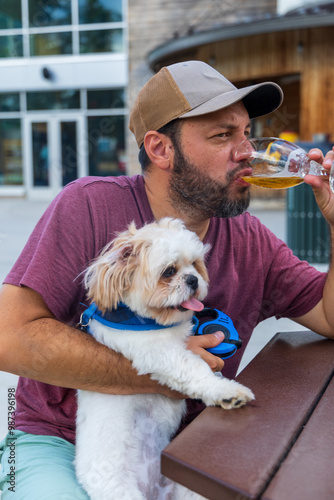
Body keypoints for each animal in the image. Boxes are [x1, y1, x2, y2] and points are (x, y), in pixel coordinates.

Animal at [75, 219, 253, 500]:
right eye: (169, 271)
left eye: (195, 264)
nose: (193, 279)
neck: (150, 320)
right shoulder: (159, 352)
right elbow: (196, 368)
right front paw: (225, 391)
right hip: (121, 491)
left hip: (189, 489)